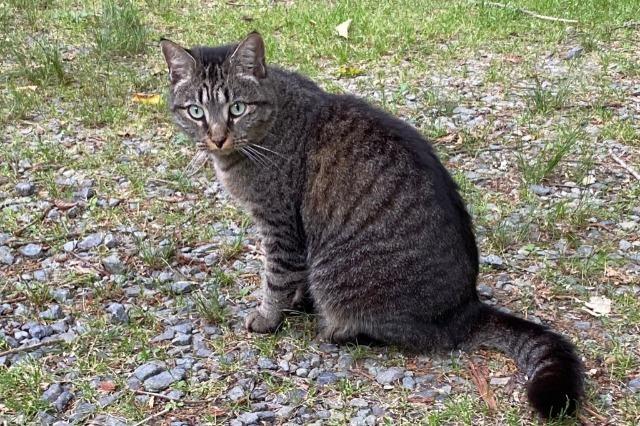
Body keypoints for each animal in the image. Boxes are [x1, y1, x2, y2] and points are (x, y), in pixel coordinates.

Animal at [161, 31, 584, 418]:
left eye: (237, 107)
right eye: (196, 111)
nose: (217, 137)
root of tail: (467, 307)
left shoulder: (280, 225)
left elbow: (277, 278)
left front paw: (267, 316)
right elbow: (291, 280)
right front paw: (293, 302)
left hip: (341, 276)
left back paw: (340, 330)